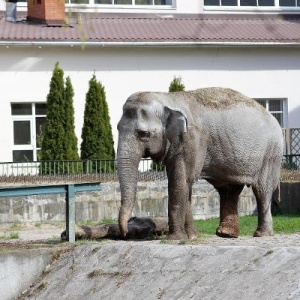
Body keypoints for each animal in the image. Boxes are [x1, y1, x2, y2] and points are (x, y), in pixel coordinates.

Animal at [116, 86, 284, 239]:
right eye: (117, 128)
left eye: (144, 134)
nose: (125, 233)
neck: (167, 98)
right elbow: (185, 183)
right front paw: (192, 236)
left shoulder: (192, 139)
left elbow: (180, 181)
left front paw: (176, 238)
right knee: (229, 189)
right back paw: (226, 234)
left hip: (271, 155)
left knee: (262, 190)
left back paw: (262, 234)